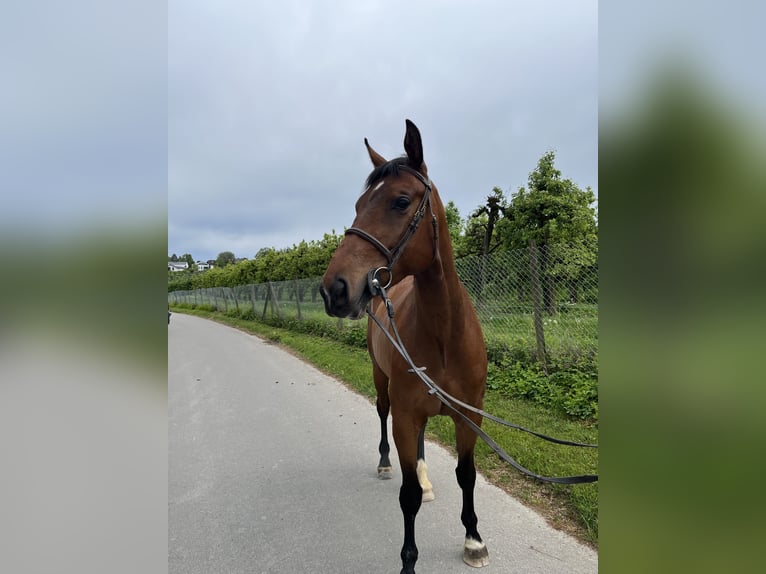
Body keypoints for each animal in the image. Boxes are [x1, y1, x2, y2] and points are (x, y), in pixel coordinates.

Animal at [320, 120, 489, 574]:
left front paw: (473, 539)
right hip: (382, 383)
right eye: (359, 204)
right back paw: (384, 464)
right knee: (382, 416)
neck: (445, 336)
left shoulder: (469, 417)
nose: (333, 289)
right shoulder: (405, 415)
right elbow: (407, 495)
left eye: (400, 201)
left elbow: (467, 475)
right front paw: (409, 562)